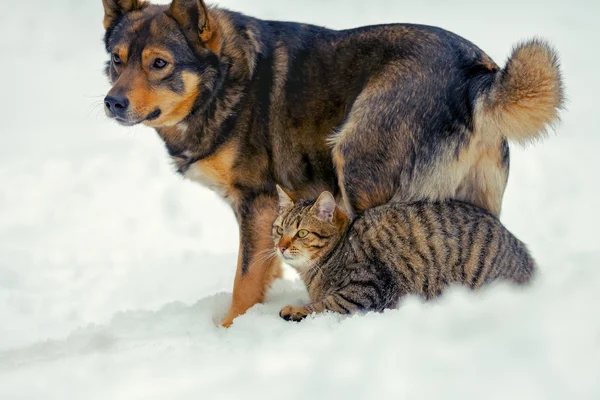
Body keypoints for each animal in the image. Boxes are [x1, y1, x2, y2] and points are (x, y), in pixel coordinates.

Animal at [272, 188, 536, 322]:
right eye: (279, 230)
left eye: (302, 233)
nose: (281, 246)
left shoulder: (367, 286)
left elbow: (328, 303)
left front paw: (298, 309)